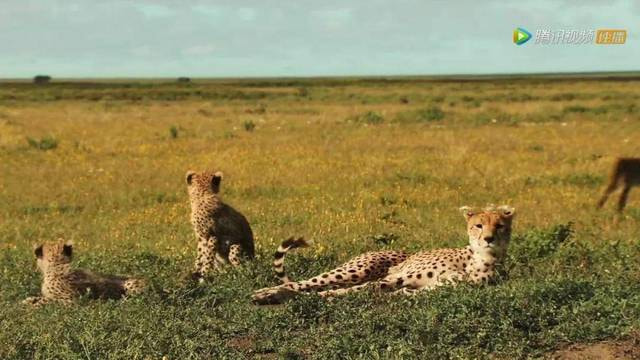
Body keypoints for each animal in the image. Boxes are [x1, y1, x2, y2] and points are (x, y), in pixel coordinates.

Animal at [252, 205, 512, 304]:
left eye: (499, 226)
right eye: (479, 225)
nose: (489, 238)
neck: (478, 260)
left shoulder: (434, 288)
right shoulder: (398, 277)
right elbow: (359, 289)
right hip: (358, 269)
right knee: (301, 283)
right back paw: (266, 292)